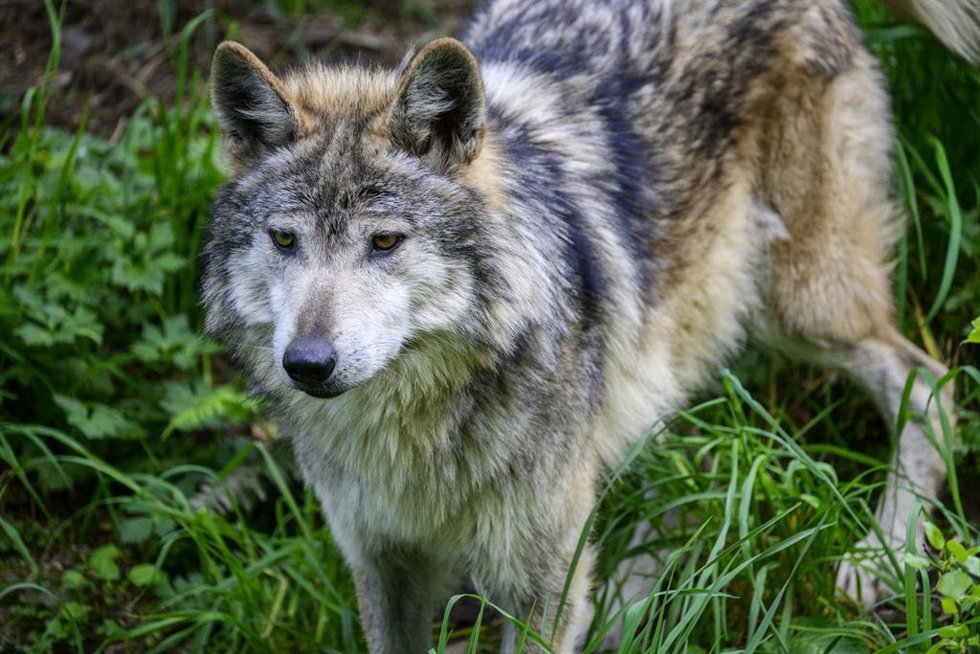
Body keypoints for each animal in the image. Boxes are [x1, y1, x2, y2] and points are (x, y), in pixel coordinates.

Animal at [201, 0, 976, 651]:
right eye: (285, 240)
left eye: (385, 242)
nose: (307, 362)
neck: (414, 435)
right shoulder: (381, 565)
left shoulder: (537, 583)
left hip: (797, 304)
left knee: (928, 381)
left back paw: (880, 556)